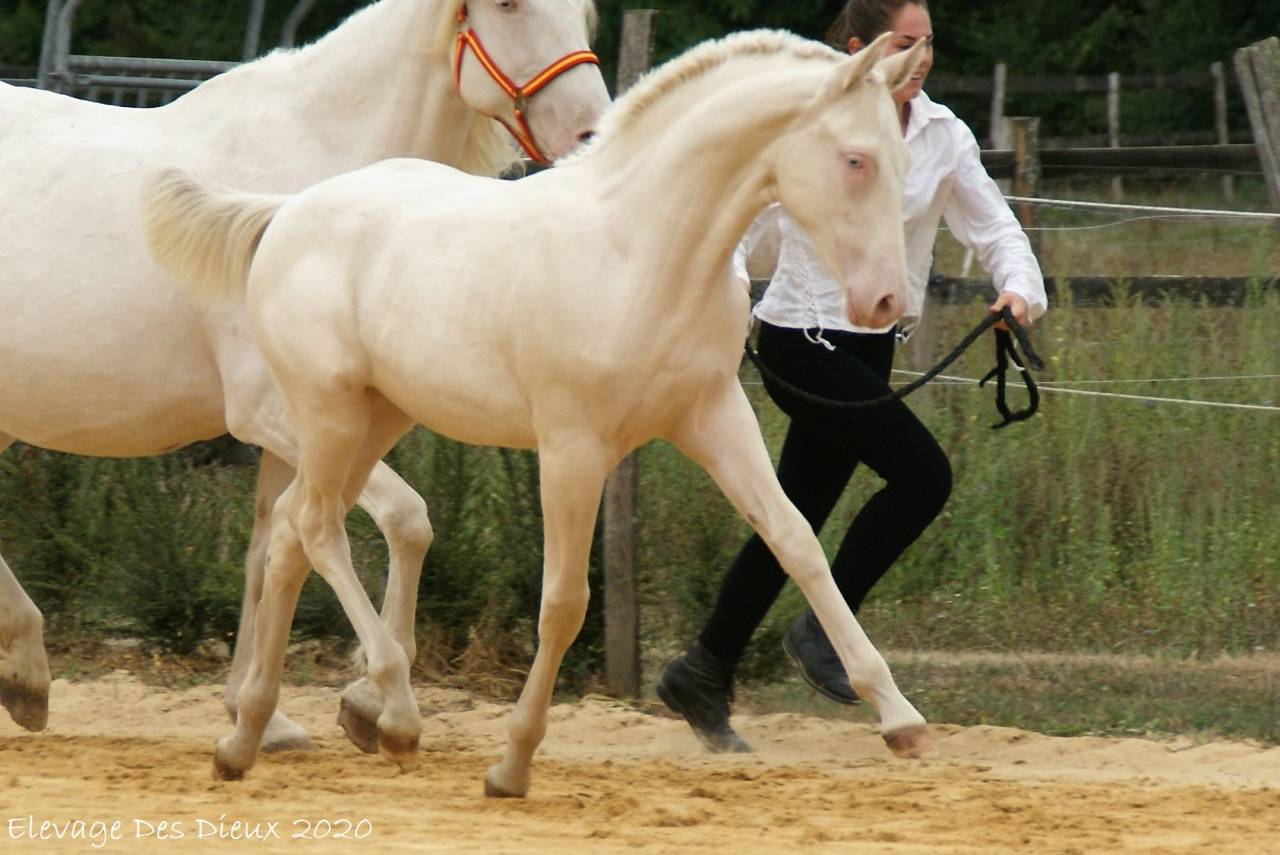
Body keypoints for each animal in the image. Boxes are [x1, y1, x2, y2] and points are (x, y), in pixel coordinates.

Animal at [0, 0, 608, 752]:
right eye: (507, 6)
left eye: (584, 13)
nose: (590, 133)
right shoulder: (277, 415)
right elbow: (403, 519)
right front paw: (375, 702)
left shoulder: (297, 435)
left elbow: (270, 548)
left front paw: (260, 714)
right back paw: (27, 671)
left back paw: (25, 673)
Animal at [144, 29, 930, 793]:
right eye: (855, 159)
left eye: (900, 160)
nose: (886, 303)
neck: (639, 251)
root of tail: (287, 211)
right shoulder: (572, 447)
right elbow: (564, 601)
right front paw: (512, 763)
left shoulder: (713, 416)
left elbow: (796, 542)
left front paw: (900, 717)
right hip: (328, 412)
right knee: (315, 528)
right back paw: (392, 716)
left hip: (377, 418)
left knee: (288, 537)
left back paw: (245, 738)